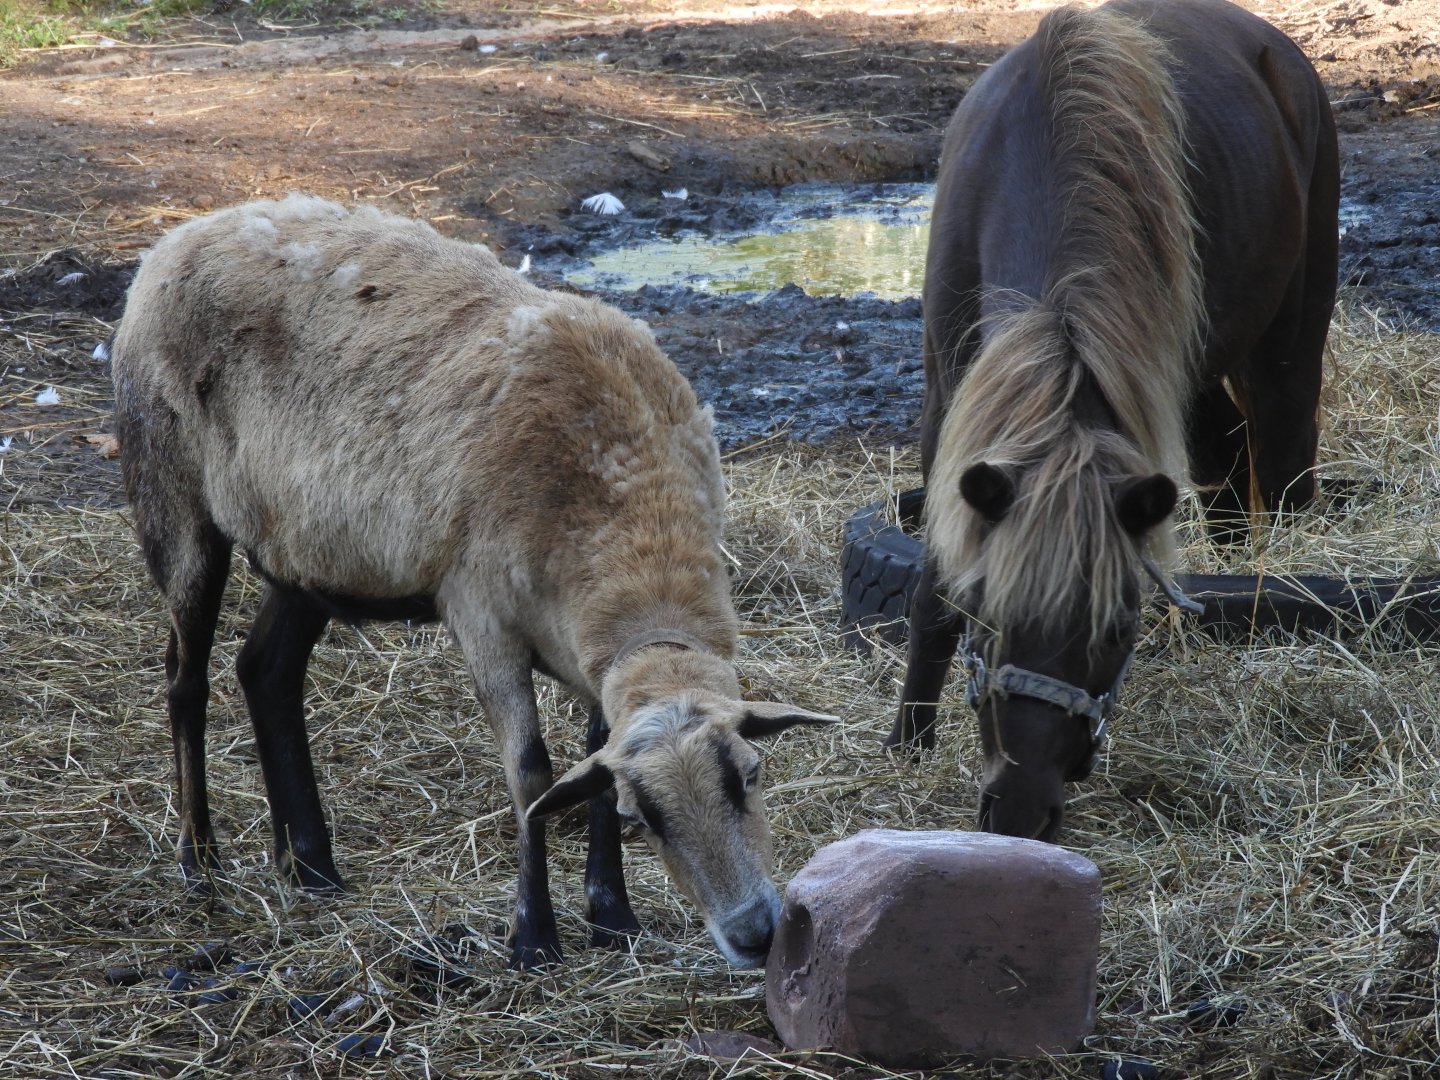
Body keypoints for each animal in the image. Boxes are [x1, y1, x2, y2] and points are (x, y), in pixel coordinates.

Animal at [110, 195, 835, 969]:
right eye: (649, 816)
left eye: (750, 775)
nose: (756, 935)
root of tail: (180, 236)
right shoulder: (481, 616)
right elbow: (534, 776)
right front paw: (533, 938)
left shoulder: (589, 651)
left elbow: (590, 771)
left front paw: (613, 917)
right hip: (172, 495)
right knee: (185, 676)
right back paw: (199, 857)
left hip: (304, 552)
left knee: (266, 671)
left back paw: (308, 864)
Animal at [885, 0, 1339, 841]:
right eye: (988, 614)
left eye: (1118, 630)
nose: (1020, 812)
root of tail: (1277, 49)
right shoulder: (949, 394)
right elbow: (931, 586)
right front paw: (908, 740)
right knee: (1227, 464)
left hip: (1285, 340)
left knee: (1285, 465)